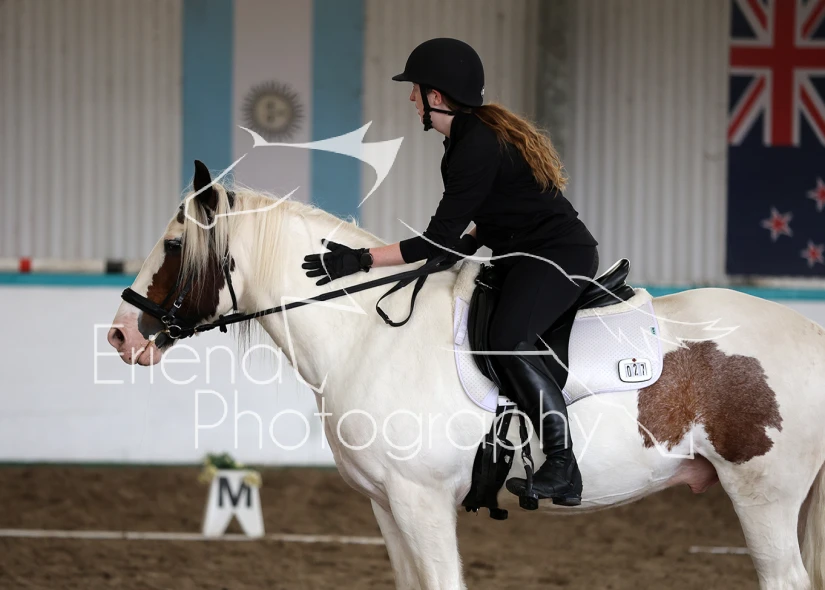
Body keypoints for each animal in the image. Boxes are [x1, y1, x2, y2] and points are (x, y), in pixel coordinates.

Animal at [108, 161, 825, 590]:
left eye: (173, 245)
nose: (120, 334)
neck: (367, 334)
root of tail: (811, 335)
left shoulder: (421, 502)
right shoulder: (387, 506)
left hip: (762, 497)